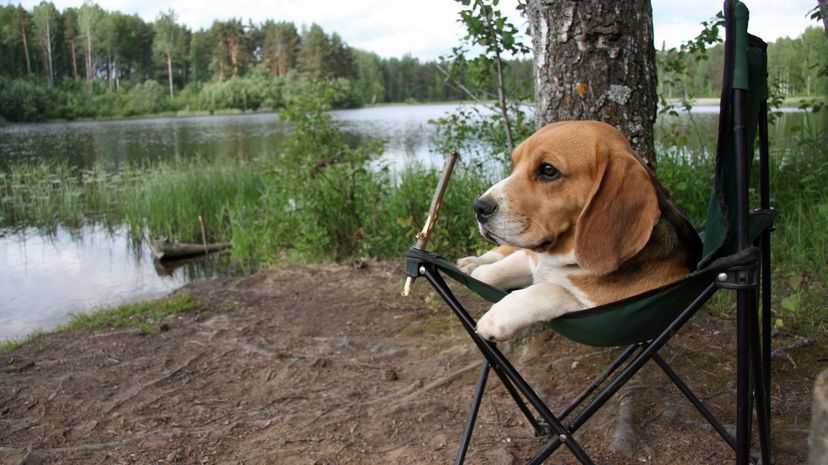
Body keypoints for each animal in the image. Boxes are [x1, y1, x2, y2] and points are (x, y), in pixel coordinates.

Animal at [456, 120, 700, 340]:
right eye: (515, 163)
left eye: (548, 170)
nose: (479, 207)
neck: (566, 258)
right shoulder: (532, 259)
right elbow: (489, 273)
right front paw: (479, 270)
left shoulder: (599, 306)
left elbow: (551, 289)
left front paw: (498, 316)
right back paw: (470, 262)